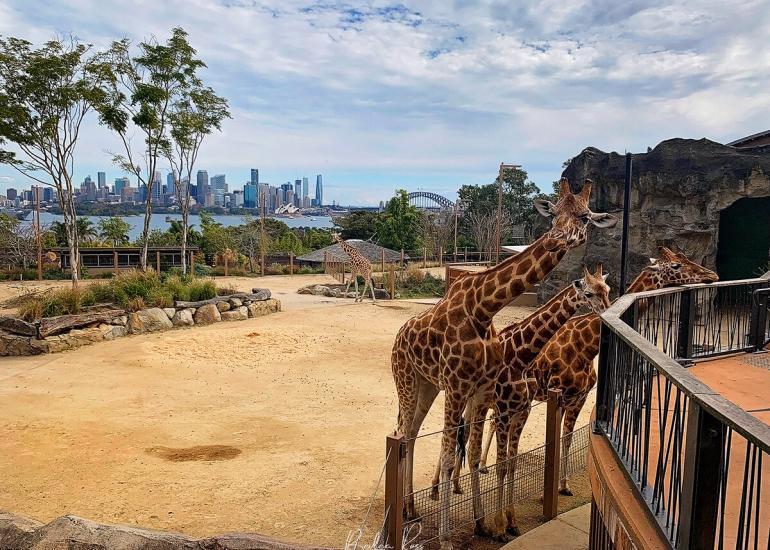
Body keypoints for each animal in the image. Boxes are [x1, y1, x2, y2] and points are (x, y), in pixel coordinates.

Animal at [391, 178, 618, 548]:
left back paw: (412, 507)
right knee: (404, 433)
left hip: (429, 386)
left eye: (585, 217)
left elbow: (479, 454)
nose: (555, 238)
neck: (483, 309)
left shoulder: (483, 392)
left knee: (411, 435)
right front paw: (448, 538)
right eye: (553, 211)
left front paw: (485, 524)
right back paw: (411, 509)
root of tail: (398, 336)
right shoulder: (460, 387)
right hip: (407, 380)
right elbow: (452, 456)